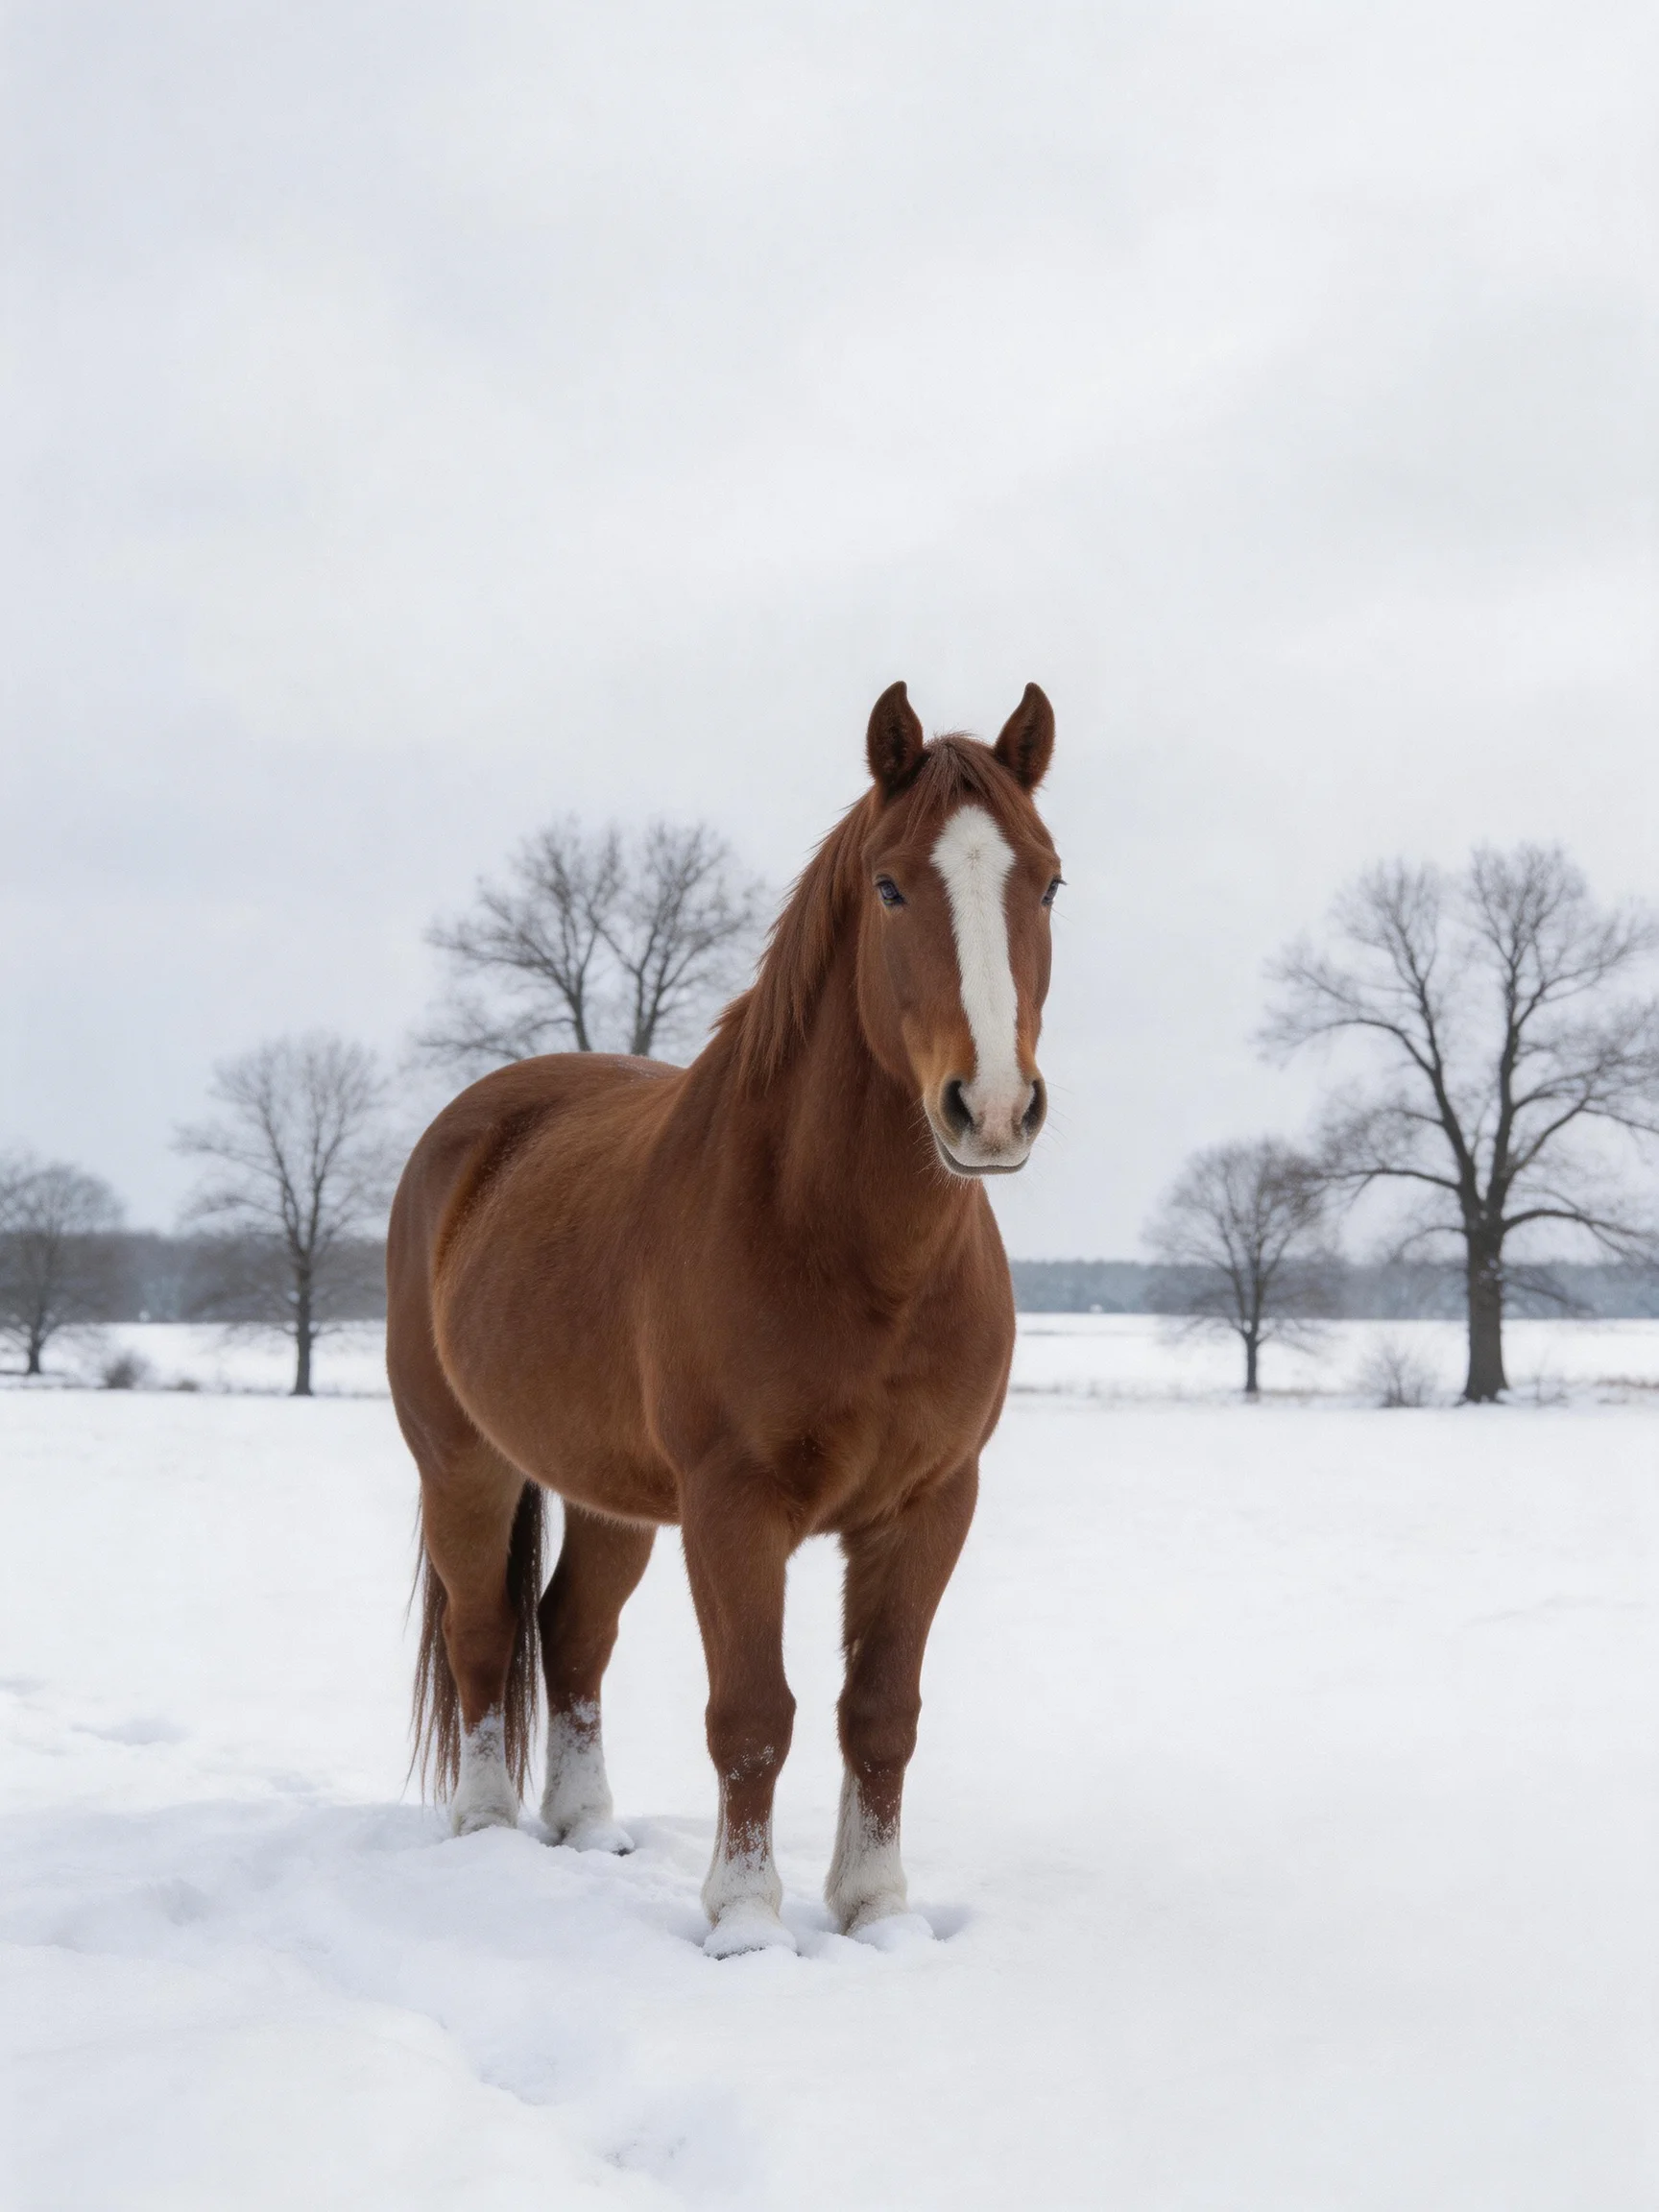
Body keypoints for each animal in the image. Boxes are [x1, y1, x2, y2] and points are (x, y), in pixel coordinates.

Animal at [387, 679, 1061, 1956]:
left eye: (1046, 880)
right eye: (891, 886)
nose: (992, 1109)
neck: (849, 1250)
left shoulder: (928, 1504)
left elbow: (880, 1712)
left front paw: (876, 1913)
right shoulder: (734, 1506)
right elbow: (753, 1712)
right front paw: (746, 1921)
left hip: (612, 1495)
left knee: (570, 1631)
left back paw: (587, 1826)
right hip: (464, 1464)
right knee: (484, 1634)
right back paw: (489, 1827)